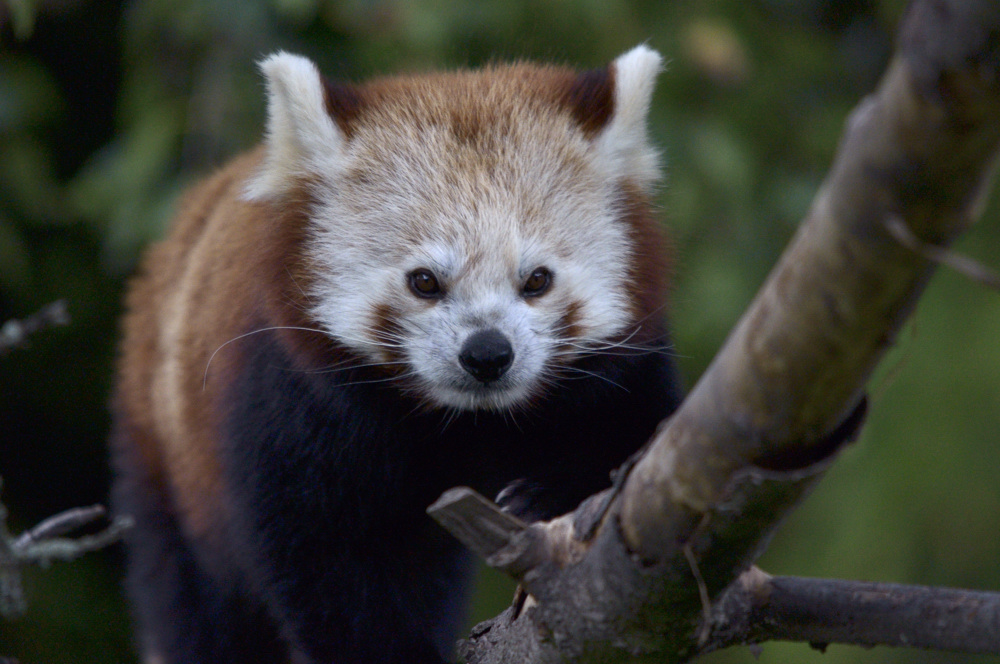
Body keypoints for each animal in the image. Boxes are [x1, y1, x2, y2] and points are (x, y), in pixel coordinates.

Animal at [111, 46, 688, 664]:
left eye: (537, 279)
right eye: (424, 281)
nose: (488, 353)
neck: (470, 422)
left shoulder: (624, 368)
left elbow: (637, 436)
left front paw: (544, 495)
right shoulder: (292, 401)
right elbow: (335, 563)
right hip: (163, 458)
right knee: (198, 604)